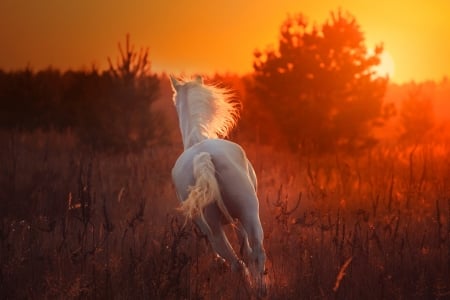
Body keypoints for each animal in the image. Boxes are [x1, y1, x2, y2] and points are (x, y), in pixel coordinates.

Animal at [170, 75, 268, 298]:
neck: (197, 139)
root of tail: (204, 157)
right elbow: (246, 251)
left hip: (219, 224)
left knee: (241, 260)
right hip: (244, 216)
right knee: (250, 256)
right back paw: (259, 288)